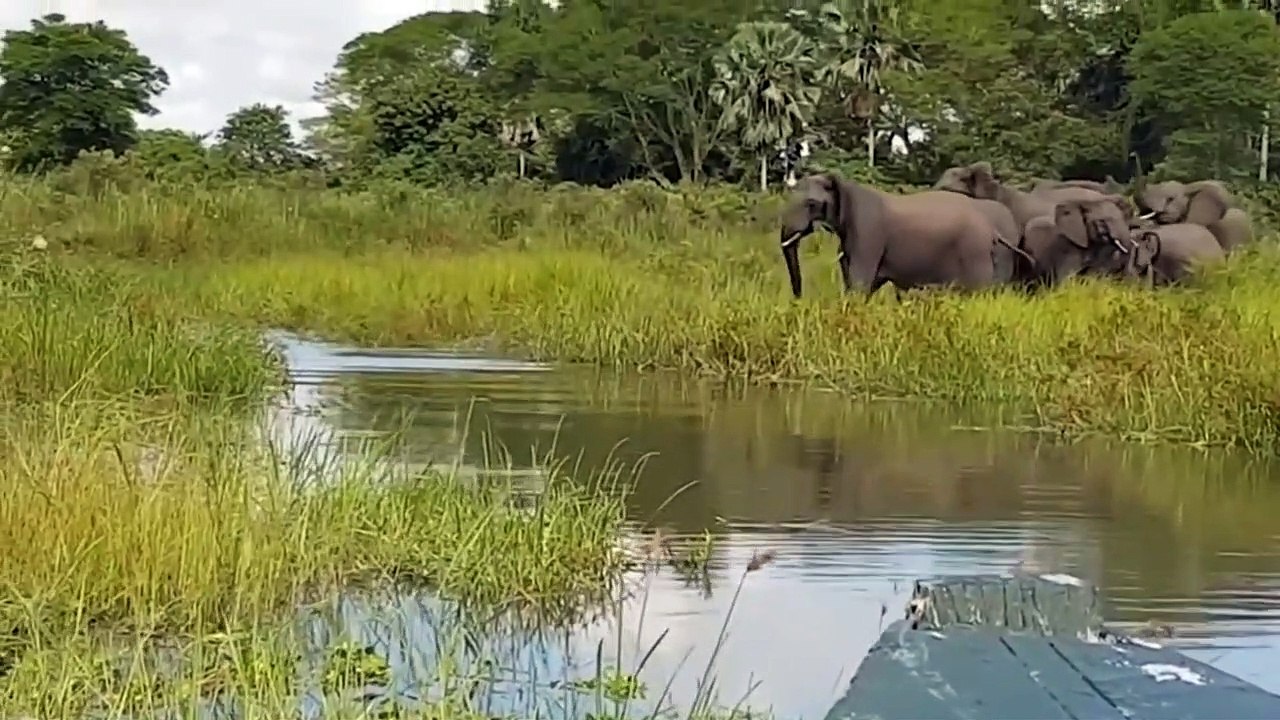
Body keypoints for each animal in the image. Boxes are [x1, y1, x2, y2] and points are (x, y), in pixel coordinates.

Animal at [778, 172, 1018, 298]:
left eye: (811, 204)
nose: (798, 300)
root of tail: (992, 231)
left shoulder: (868, 231)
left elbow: (860, 282)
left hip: (974, 252)